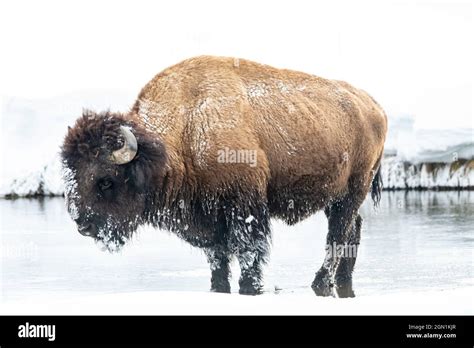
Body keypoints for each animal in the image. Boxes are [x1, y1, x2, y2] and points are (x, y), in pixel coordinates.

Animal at [62, 55, 386, 298]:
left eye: (106, 180)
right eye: (72, 175)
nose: (82, 224)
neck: (187, 128)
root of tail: (373, 105)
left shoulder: (244, 208)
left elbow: (248, 253)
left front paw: (250, 288)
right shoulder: (207, 220)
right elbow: (217, 259)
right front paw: (218, 287)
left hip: (353, 190)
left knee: (337, 235)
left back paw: (320, 282)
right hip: (338, 197)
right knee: (351, 231)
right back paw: (342, 279)